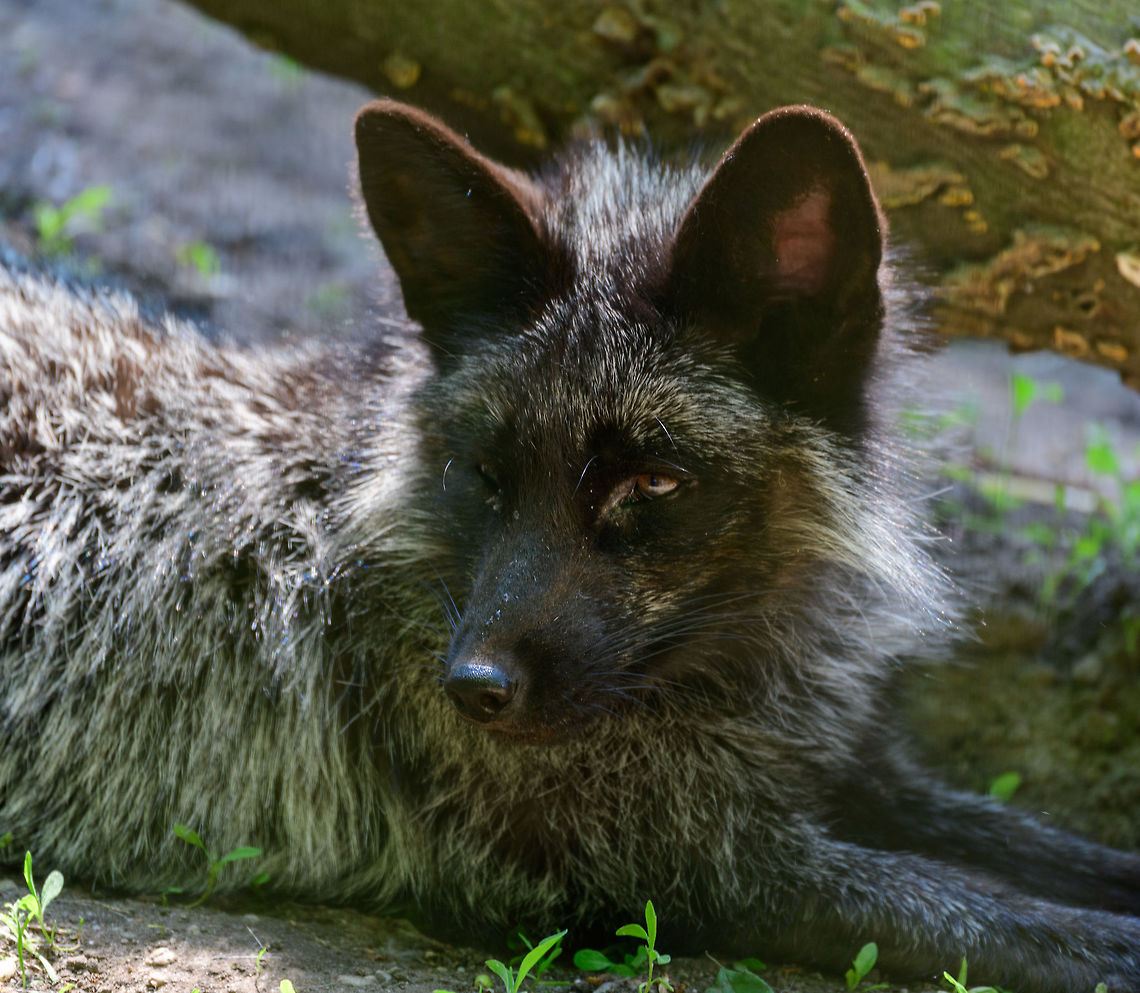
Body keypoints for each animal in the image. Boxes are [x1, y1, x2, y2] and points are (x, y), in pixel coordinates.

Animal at [1, 99, 1138, 992]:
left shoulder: (853, 772)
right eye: (485, 476)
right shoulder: (704, 868)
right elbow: (971, 908)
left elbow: (1031, 847)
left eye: (653, 481)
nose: (473, 686)